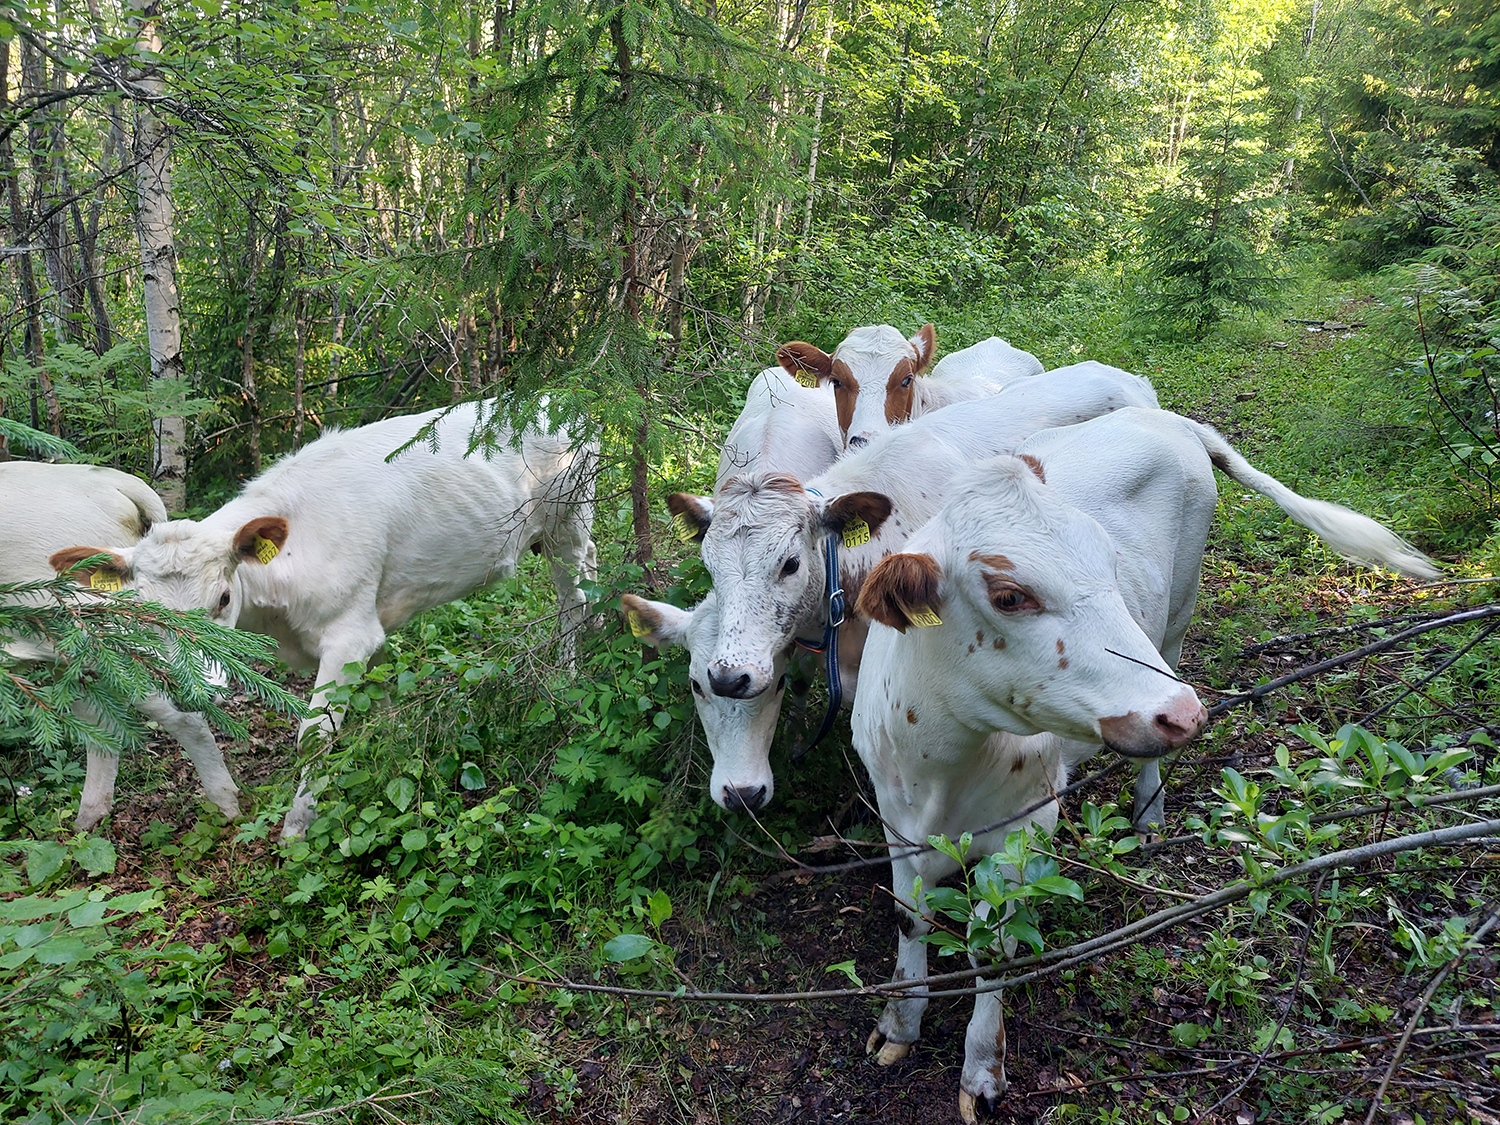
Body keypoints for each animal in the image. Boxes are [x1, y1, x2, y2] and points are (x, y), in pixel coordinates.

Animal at [52, 401, 599, 838]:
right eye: (143, 609)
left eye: (224, 598)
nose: (196, 690)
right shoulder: (368, 631)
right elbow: (378, 700)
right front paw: (391, 756)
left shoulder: (348, 634)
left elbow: (313, 735)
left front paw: (297, 826)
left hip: (567, 520)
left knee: (572, 597)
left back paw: (570, 676)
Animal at [847, 407, 1438, 1119]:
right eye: (1010, 595)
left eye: (1108, 559)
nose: (1182, 714)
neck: (942, 767)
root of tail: (1166, 415)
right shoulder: (895, 816)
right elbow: (909, 918)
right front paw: (900, 1024)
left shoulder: (1027, 830)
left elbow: (997, 946)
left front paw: (981, 1070)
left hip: (1178, 614)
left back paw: (1149, 812)